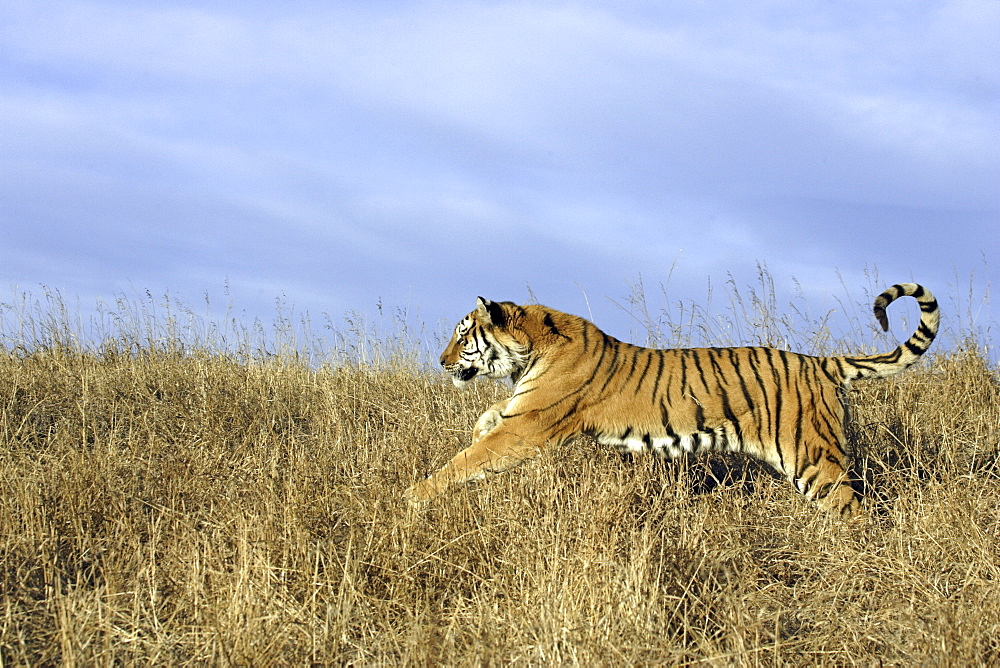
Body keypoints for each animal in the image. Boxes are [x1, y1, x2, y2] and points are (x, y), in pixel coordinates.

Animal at [404, 282, 936, 516]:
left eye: (462, 335)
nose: (440, 361)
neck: (535, 345)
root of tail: (820, 362)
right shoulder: (523, 413)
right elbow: (488, 423)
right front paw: (480, 422)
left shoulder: (530, 426)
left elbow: (468, 459)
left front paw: (412, 497)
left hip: (813, 458)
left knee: (851, 510)